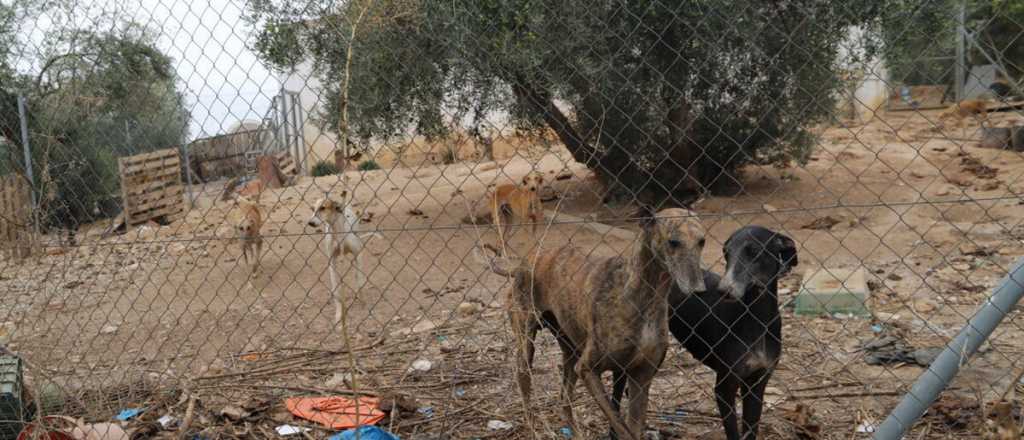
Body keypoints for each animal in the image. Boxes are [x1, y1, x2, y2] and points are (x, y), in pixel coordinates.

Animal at [309, 189, 382, 327]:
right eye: (312, 208)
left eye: (323, 208)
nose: (310, 222)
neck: (337, 232)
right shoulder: (332, 262)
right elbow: (336, 290)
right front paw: (338, 315)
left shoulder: (358, 254)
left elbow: (359, 281)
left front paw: (364, 304)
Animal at [509, 206, 708, 440]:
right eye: (673, 242)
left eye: (702, 241)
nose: (699, 290)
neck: (643, 295)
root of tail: (528, 259)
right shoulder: (587, 369)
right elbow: (620, 425)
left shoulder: (641, 376)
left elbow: (633, 428)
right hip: (527, 346)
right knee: (525, 385)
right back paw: (533, 428)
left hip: (570, 352)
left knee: (564, 400)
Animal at [610, 225, 794, 440]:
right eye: (726, 252)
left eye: (754, 251)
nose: (724, 290)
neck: (756, 318)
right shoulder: (724, 388)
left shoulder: (756, 385)